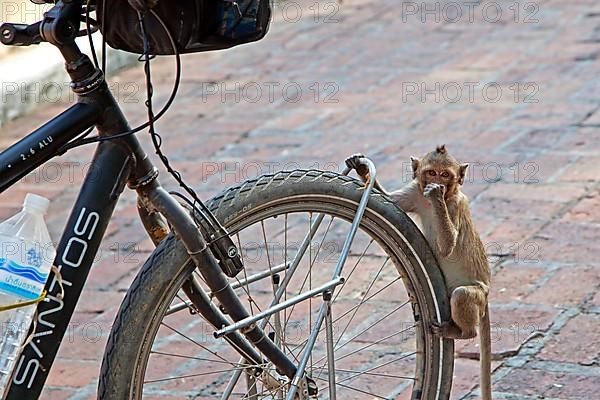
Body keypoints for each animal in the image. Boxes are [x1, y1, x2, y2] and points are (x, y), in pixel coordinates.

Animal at [346, 146, 492, 400]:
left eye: (445, 175)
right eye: (431, 172)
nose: (437, 184)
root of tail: (487, 292)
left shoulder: (454, 205)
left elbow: (447, 246)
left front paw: (436, 197)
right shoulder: (415, 192)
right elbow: (389, 198)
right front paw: (361, 168)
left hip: (477, 295)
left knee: (462, 295)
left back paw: (463, 332)